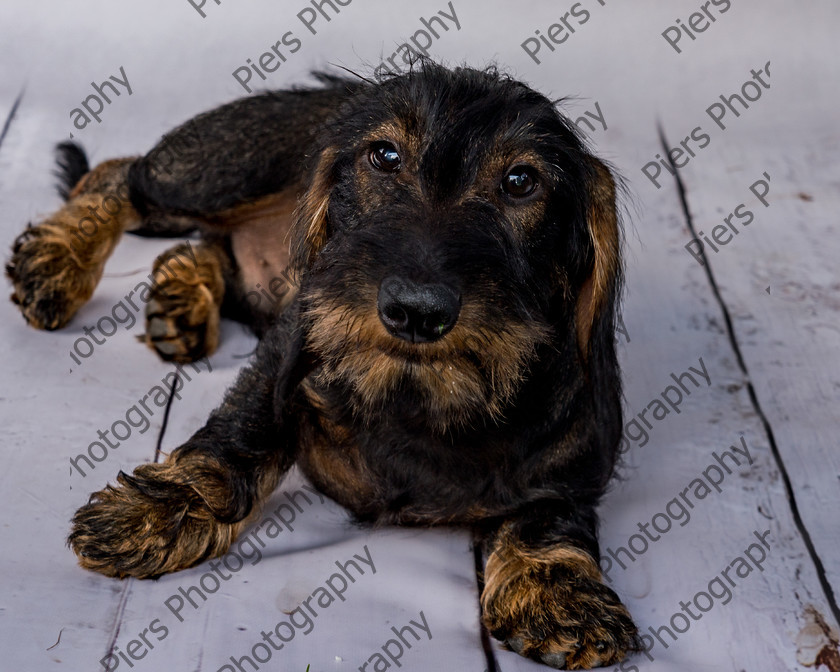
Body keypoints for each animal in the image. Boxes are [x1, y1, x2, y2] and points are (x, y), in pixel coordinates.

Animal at [4, 61, 636, 668]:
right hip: (215, 170)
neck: (416, 395)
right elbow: (242, 431)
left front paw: (556, 589)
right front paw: (161, 508)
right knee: (120, 175)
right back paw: (60, 261)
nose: (415, 310)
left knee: (206, 247)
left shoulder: (570, 453)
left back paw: (181, 299)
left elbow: (548, 505)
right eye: (384, 156)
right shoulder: (294, 333)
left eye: (521, 181)